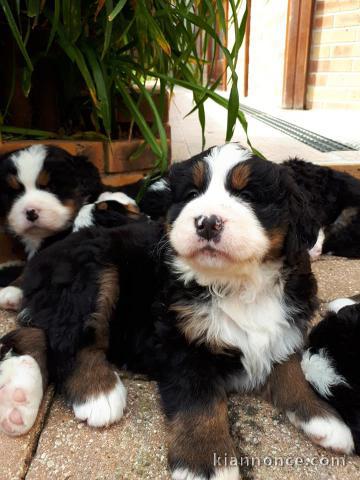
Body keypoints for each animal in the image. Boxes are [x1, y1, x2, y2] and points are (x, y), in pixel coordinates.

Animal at [0, 143, 354, 480]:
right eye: (192, 195)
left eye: (248, 196)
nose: (207, 222)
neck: (237, 285)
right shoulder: (181, 344)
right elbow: (200, 403)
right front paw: (205, 461)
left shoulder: (284, 328)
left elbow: (293, 371)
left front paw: (325, 418)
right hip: (95, 269)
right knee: (68, 338)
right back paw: (97, 392)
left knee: (35, 331)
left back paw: (19, 397)